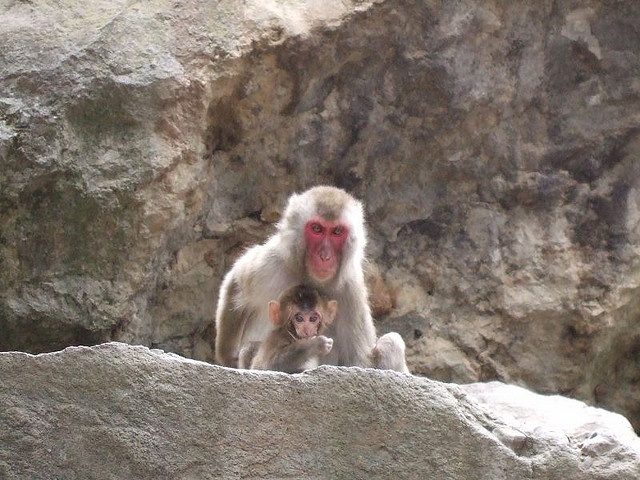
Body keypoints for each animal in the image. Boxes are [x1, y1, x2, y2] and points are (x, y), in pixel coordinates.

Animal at [214, 185, 409, 373]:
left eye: (337, 231)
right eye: (316, 229)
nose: (325, 256)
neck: (310, 278)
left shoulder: (351, 289)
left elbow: (359, 361)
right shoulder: (271, 262)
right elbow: (235, 284)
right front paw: (228, 356)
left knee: (391, 343)